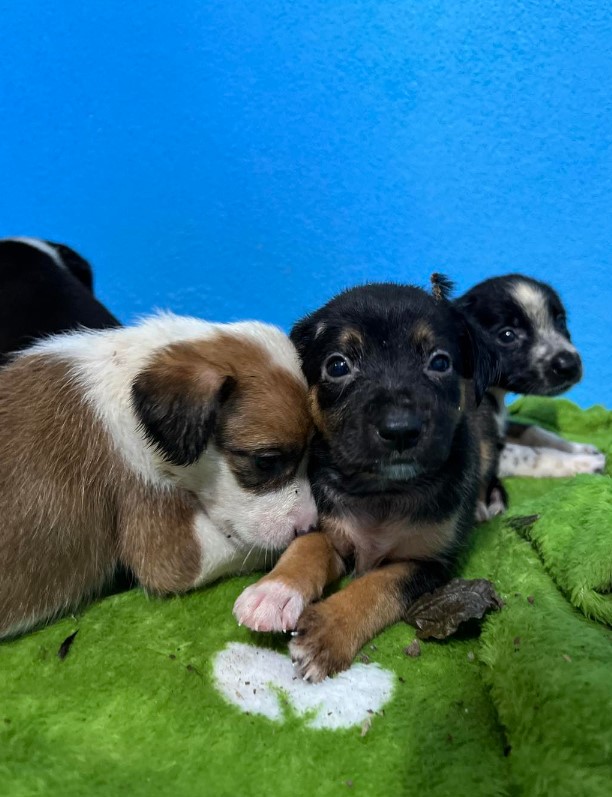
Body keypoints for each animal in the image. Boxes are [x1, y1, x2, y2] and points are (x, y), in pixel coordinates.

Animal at [234, 282, 498, 680]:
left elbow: (378, 585)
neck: (382, 491)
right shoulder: (328, 524)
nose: (400, 430)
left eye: (440, 362)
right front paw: (274, 592)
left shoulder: (429, 564)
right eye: (337, 366)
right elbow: (308, 545)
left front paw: (327, 633)